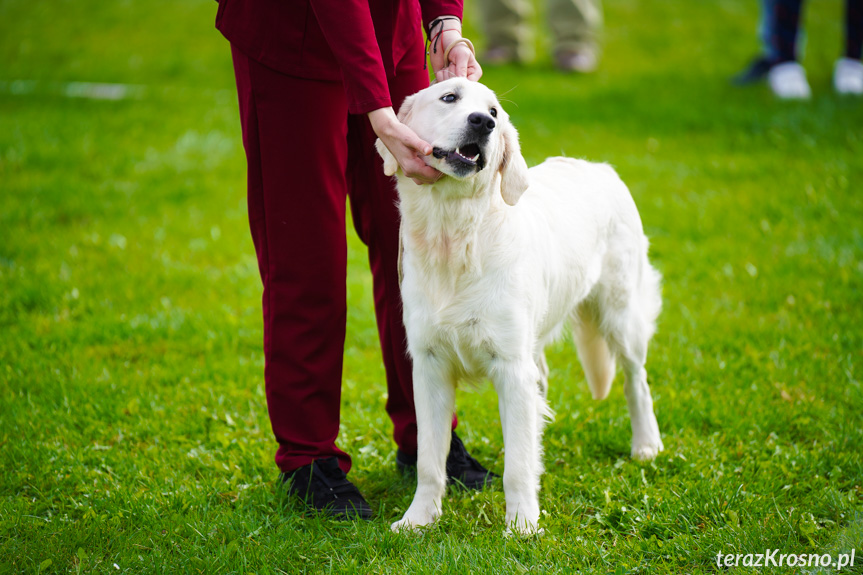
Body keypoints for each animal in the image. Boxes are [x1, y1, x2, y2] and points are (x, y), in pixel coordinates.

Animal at [374, 77, 664, 536]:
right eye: (450, 98)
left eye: (494, 112)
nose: (482, 123)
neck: (455, 234)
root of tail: (600, 168)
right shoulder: (430, 366)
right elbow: (429, 461)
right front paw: (419, 519)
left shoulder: (511, 367)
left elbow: (517, 463)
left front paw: (522, 525)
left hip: (621, 314)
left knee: (637, 379)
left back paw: (646, 445)